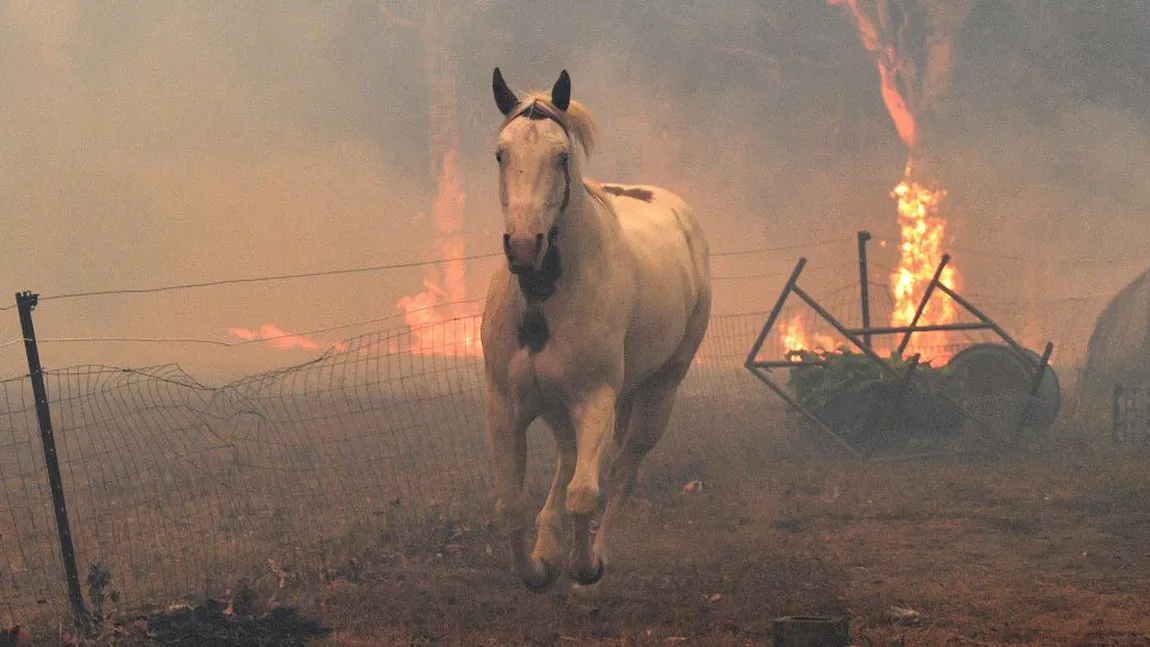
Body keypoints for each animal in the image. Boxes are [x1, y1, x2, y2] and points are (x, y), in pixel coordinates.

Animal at [478, 68, 708, 588]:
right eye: (502, 153)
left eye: (561, 156)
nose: (524, 246)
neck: (544, 299)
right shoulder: (506, 405)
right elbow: (509, 504)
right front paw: (536, 569)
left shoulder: (597, 398)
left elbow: (585, 493)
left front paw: (582, 567)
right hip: (560, 408)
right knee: (567, 461)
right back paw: (548, 544)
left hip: (658, 392)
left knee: (622, 471)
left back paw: (597, 553)